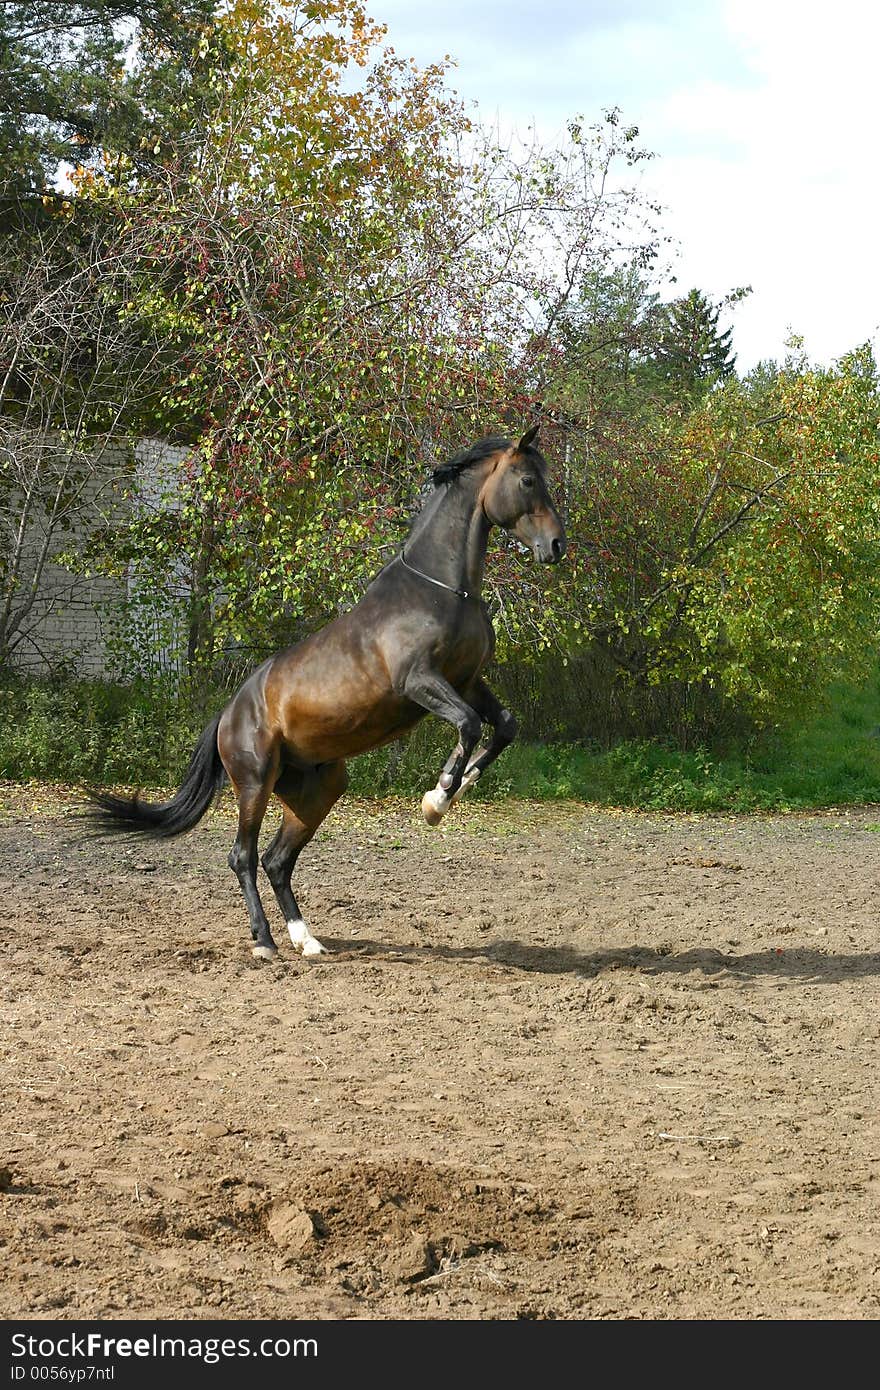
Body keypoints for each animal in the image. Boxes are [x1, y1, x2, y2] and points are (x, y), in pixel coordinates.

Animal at [88, 428, 567, 961]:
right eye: (527, 480)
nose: (556, 545)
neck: (443, 589)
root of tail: (228, 715)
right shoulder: (420, 682)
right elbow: (468, 723)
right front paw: (437, 799)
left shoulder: (465, 682)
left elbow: (503, 726)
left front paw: (456, 789)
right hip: (254, 783)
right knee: (243, 856)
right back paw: (264, 943)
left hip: (315, 791)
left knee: (277, 860)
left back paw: (307, 940)